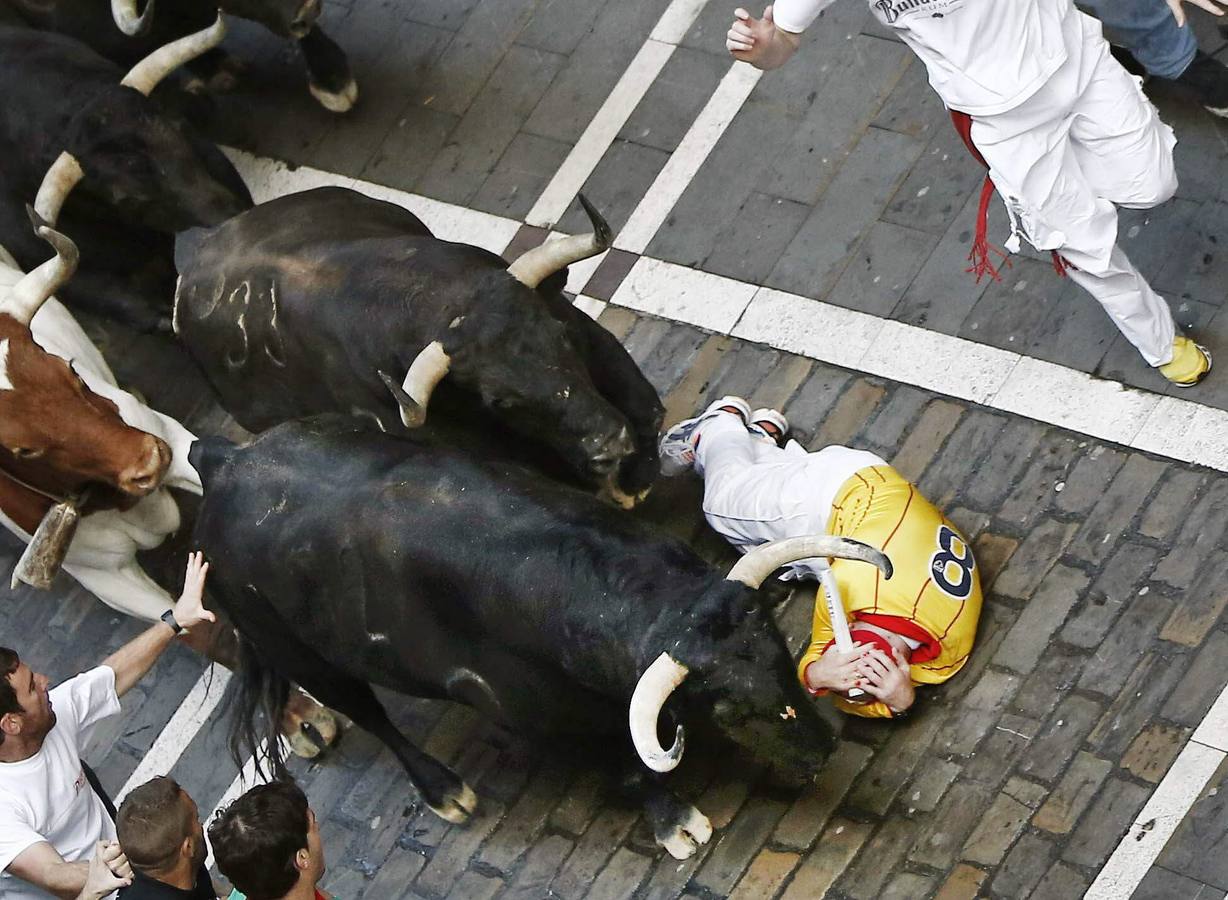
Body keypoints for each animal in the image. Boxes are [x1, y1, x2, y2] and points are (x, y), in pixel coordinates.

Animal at [173, 184, 663, 505]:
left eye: (558, 336)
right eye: (500, 401)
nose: (608, 444)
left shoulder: (580, 327)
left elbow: (646, 406)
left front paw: (636, 478)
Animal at [184, 422, 893, 854]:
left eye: (779, 655)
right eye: (727, 706)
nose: (822, 750)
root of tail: (226, 460)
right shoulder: (540, 718)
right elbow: (625, 768)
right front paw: (676, 823)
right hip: (300, 652)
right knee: (369, 714)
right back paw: (444, 792)